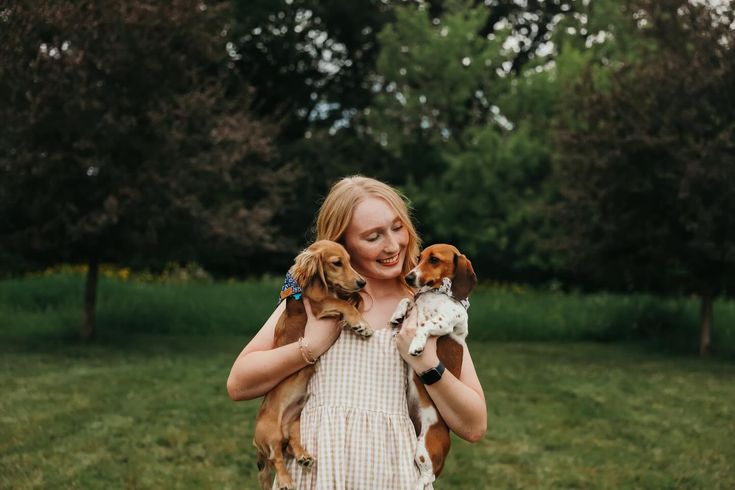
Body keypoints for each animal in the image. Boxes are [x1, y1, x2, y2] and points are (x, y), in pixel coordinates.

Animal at [392, 243, 478, 488]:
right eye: (419, 258)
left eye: (434, 260)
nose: (408, 277)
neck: (434, 293)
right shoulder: (414, 303)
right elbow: (406, 301)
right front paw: (398, 314)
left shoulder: (446, 321)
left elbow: (425, 325)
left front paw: (416, 345)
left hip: (424, 448)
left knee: (426, 476)